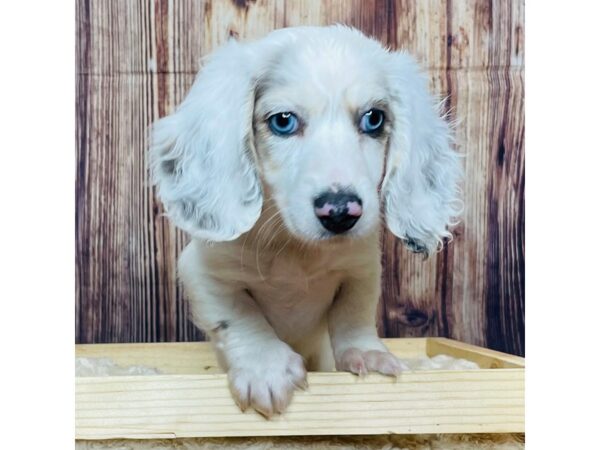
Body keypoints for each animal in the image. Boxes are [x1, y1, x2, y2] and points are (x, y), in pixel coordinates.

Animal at [150, 26, 460, 416]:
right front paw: (266, 367)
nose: (340, 212)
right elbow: (240, 316)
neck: (295, 249)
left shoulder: (361, 268)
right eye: (283, 121)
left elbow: (353, 314)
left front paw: (368, 354)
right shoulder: (205, 273)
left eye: (373, 119)